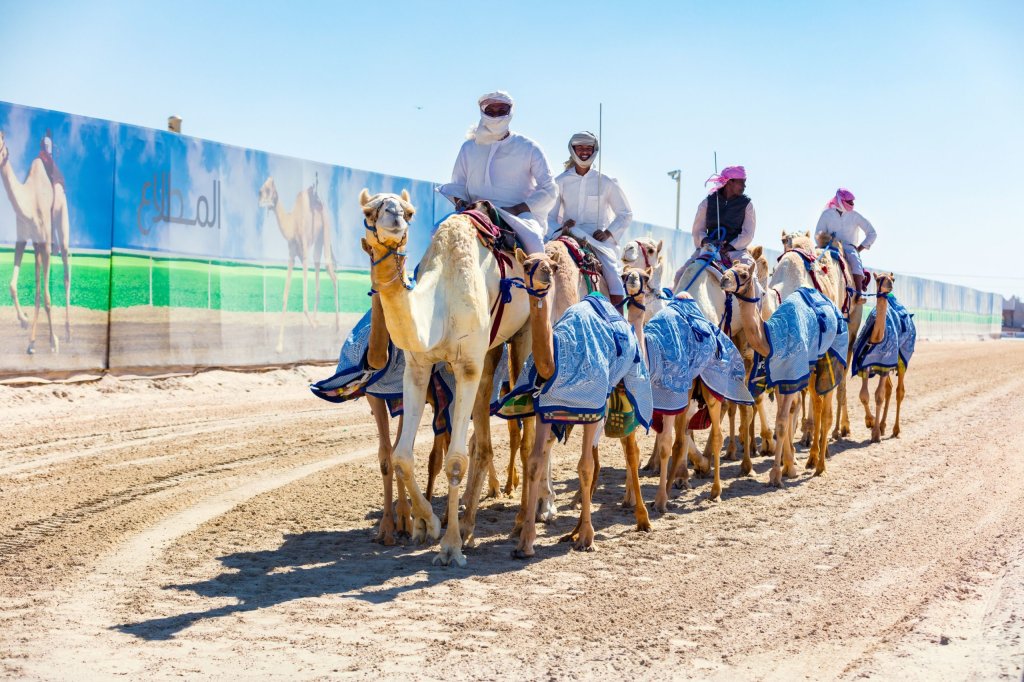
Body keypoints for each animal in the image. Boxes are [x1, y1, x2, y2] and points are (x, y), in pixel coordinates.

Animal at [360, 188, 532, 565]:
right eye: (368, 211)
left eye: (410, 211)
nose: (394, 217)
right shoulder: (418, 366)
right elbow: (402, 457)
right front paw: (428, 525)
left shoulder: (466, 365)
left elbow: (454, 460)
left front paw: (451, 547)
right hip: (490, 353)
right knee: (483, 438)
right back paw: (469, 524)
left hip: (523, 335)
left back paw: (531, 517)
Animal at [729, 259, 847, 483]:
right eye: (727, 269)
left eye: (745, 274)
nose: (724, 279)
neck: (771, 336)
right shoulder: (779, 379)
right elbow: (782, 418)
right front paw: (788, 466)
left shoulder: (793, 375)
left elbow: (784, 420)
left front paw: (777, 473)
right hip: (813, 371)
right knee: (817, 405)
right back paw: (812, 459)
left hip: (830, 363)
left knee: (826, 411)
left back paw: (821, 466)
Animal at [847, 270, 921, 440]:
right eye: (879, 278)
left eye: (893, 278)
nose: (889, 285)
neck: (876, 337)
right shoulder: (866, 365)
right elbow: (864, 395)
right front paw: (870, 422)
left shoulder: (886, 363)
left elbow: (878, 396)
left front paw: (875, 434)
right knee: (889, 388)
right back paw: (882, 425)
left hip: (901, 362)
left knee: (899, 391)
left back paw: (895, 429)